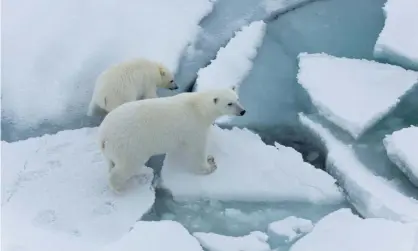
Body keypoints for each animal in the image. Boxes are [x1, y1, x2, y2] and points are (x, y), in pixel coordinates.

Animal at [97, 87, 245, 191]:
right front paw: (210, 166)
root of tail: (103, 135)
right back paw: (119, 187)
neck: (199, 107)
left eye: (237, 99)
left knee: (112, 163)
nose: (243, 111)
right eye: (229, 103)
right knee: (126, 166)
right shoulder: (194, 127)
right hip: (129, 145)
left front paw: (210, 158)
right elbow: (197, 150)